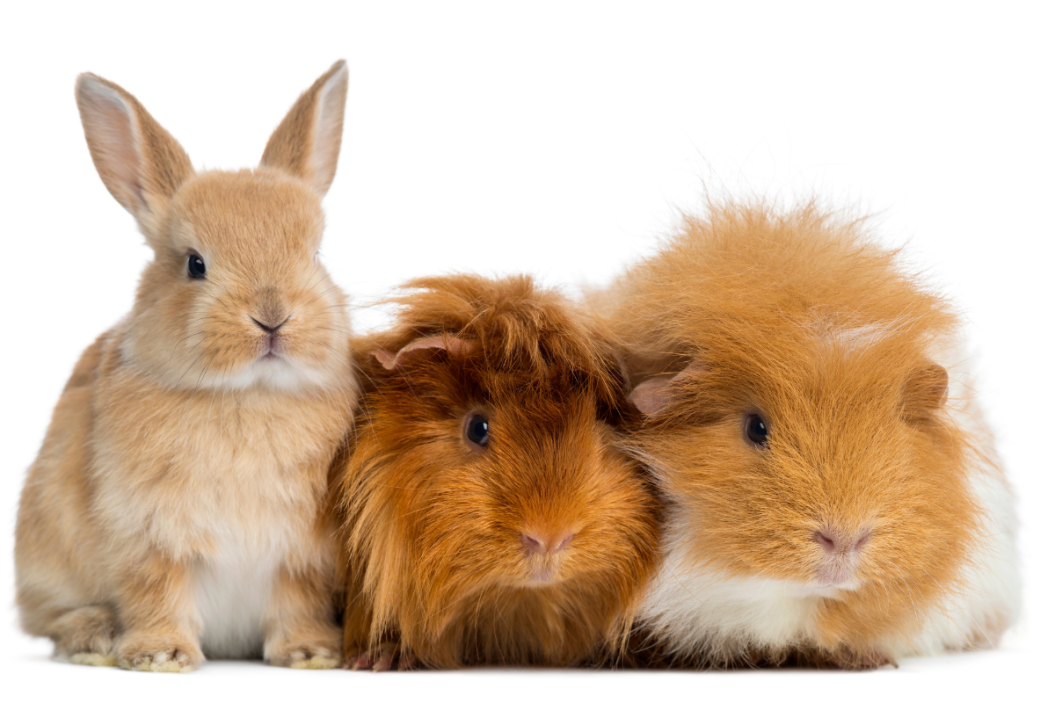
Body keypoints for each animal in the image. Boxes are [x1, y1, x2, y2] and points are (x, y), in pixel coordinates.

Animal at [15, 61, 358, 672]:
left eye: (316, 255)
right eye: (195, 264)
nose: (272, 317)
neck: (248, 394)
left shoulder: (302, 555)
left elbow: (298, 600)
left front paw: (311, 652)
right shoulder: (146, 533)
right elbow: (155, 589)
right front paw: (160, 655)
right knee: (51, 619)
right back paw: (94, 636)